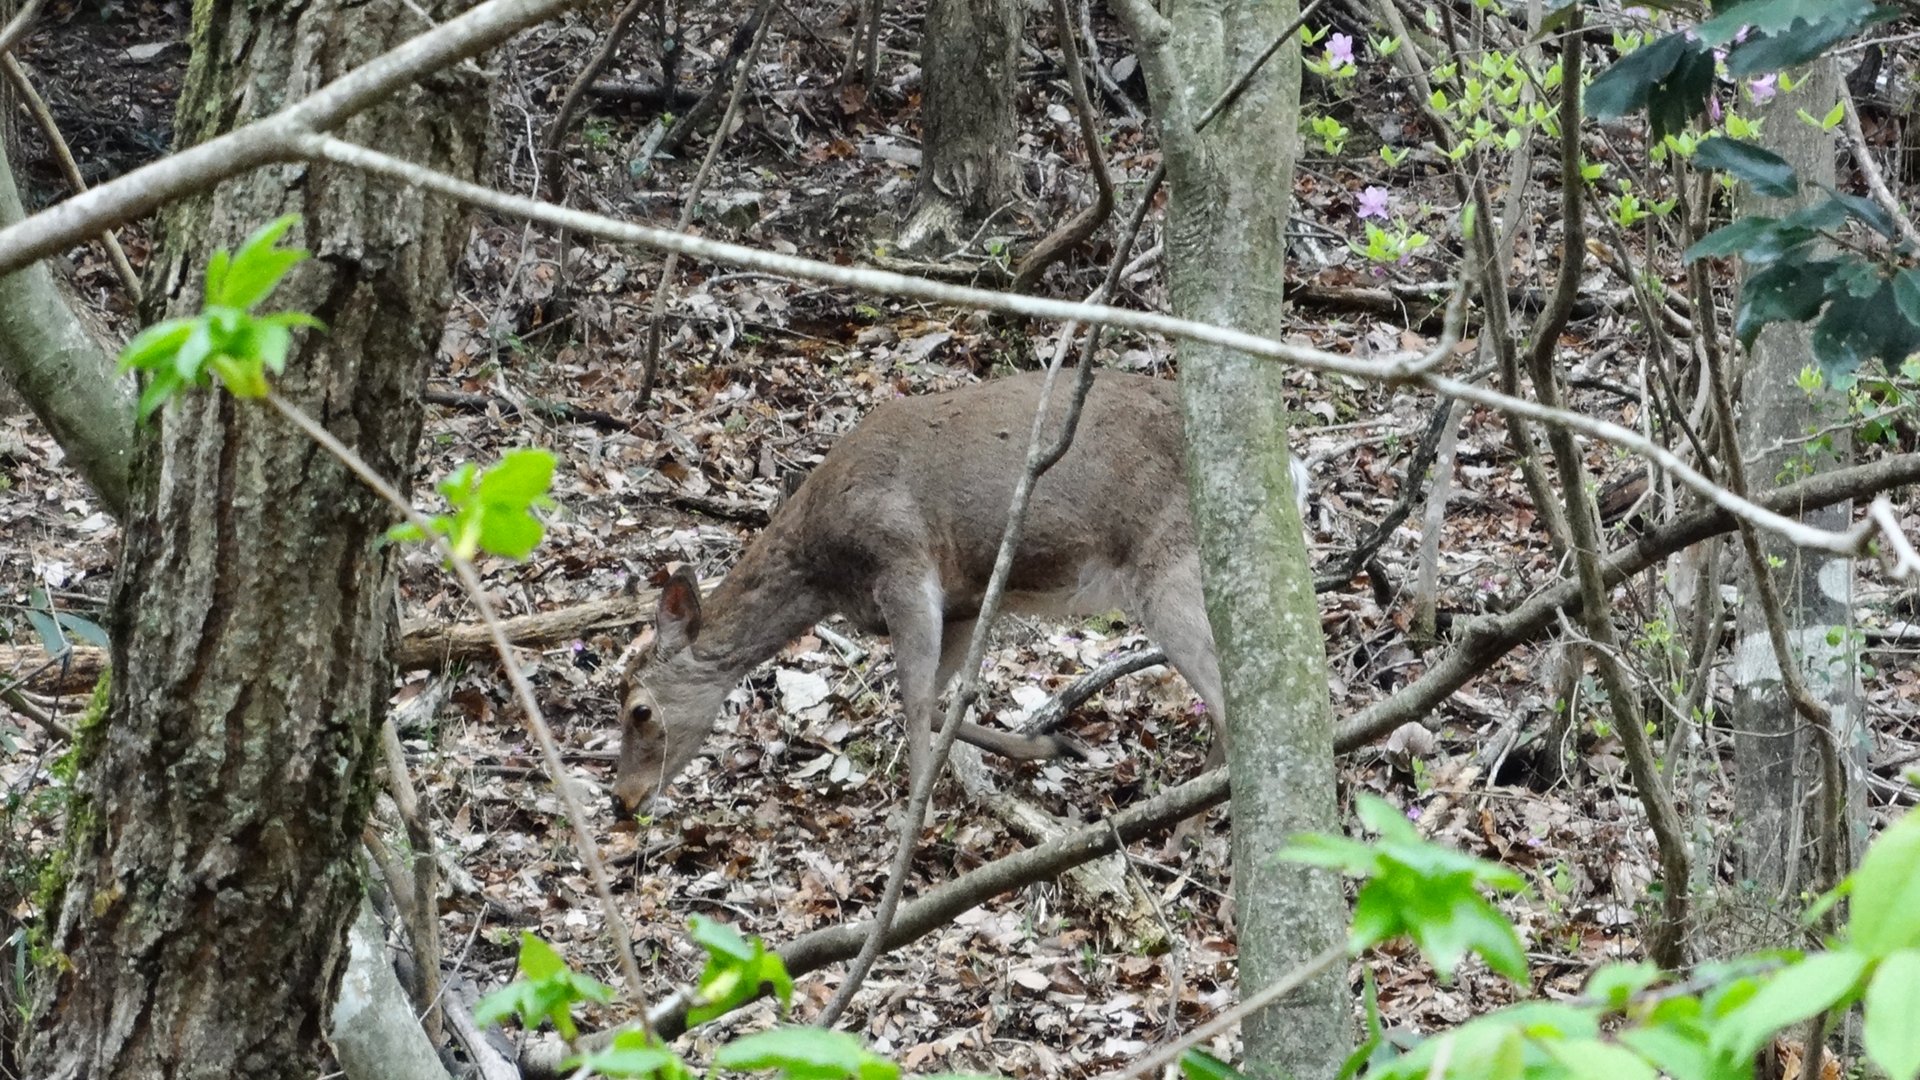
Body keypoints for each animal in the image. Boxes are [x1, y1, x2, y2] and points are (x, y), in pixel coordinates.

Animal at [606, 365, 1313, 826]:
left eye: (638, 709)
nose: (623, 801)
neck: (827, 569)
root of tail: (1295, 470)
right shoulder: (967, 599)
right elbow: (939, 703)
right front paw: (1053, 746)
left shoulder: (904, 566)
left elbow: (915, 702)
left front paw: (913, 830)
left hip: (1165, 566)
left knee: (1232, 701)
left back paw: (1195, 834)